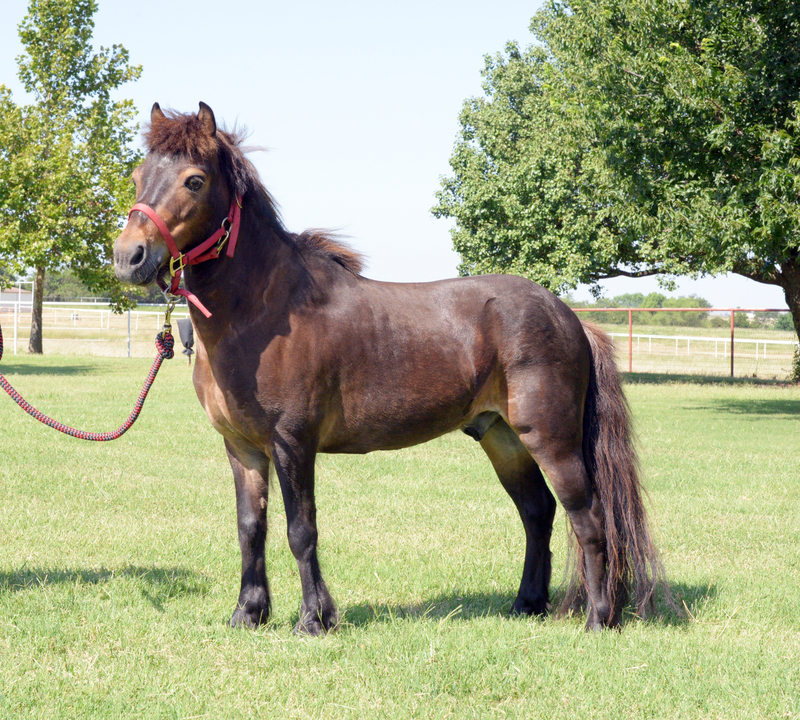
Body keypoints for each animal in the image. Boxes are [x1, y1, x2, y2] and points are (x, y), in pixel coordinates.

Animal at [112, 102, 664, 636]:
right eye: (138, 176)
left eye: (194, 180)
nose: (129, 257)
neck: (263, 312)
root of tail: (570, 317)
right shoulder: (243, 448)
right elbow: (252, 528)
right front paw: (248, 615)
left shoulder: (292, 442)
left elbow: (300, 529)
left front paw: (314, 620)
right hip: (502, 438)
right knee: (537, 512)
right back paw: (527, 604)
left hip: (552, 439)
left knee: (589, 517)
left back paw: (599, 619)